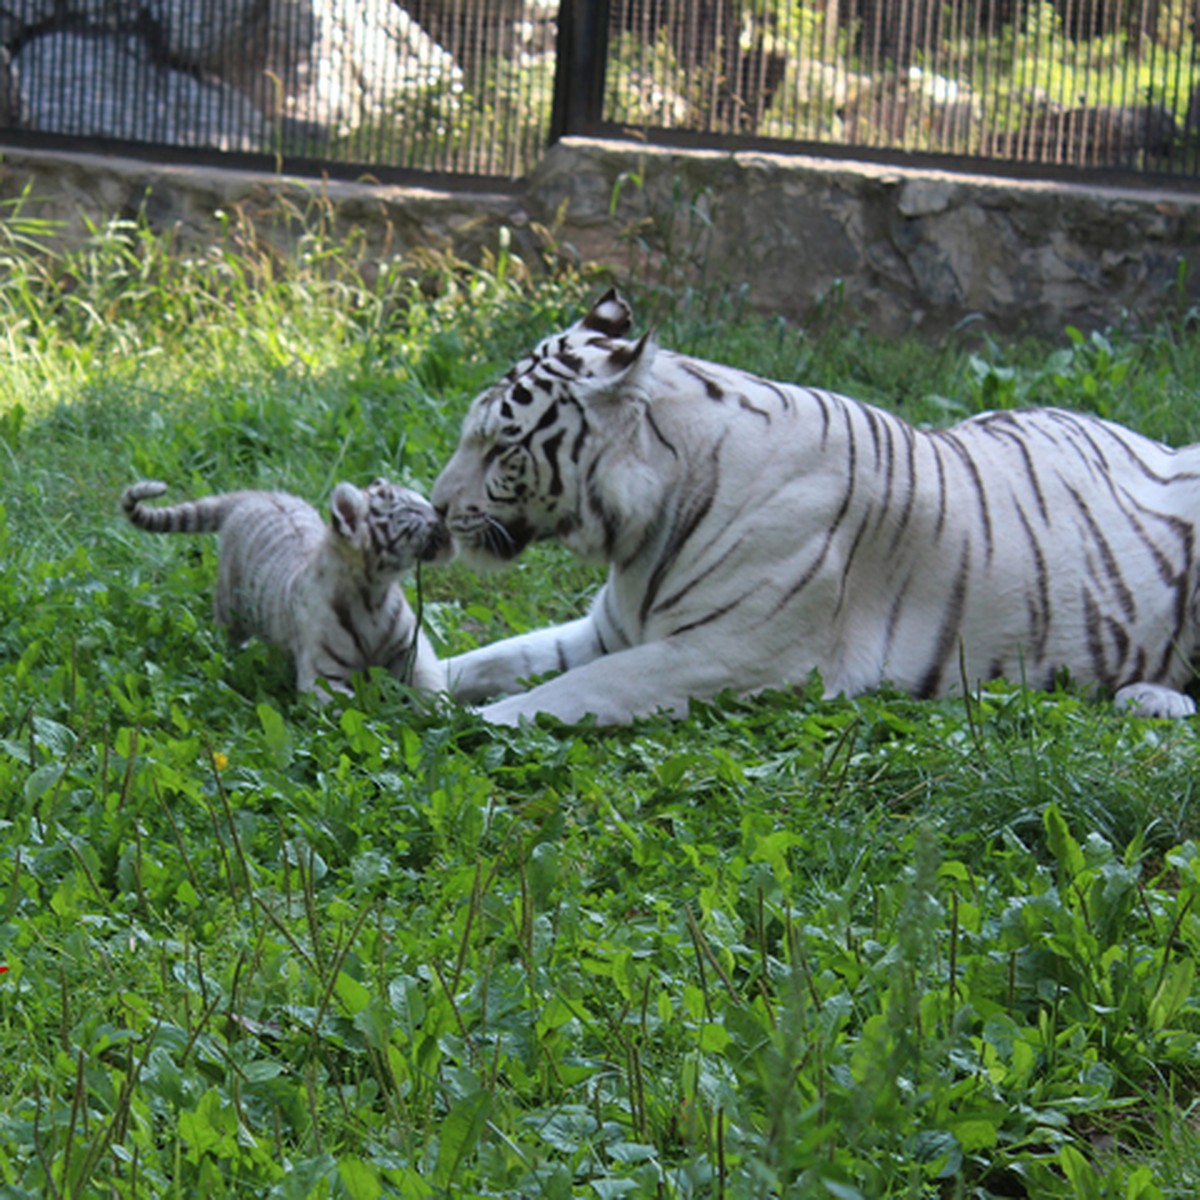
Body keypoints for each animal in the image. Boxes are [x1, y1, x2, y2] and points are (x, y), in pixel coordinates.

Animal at [436, 290, 1200, 724]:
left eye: (502, 444)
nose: (439, 507)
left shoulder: (733, 654)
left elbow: (573, 691)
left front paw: (470, 725)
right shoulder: (612, 630)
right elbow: (494, 657)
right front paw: (423, 684)